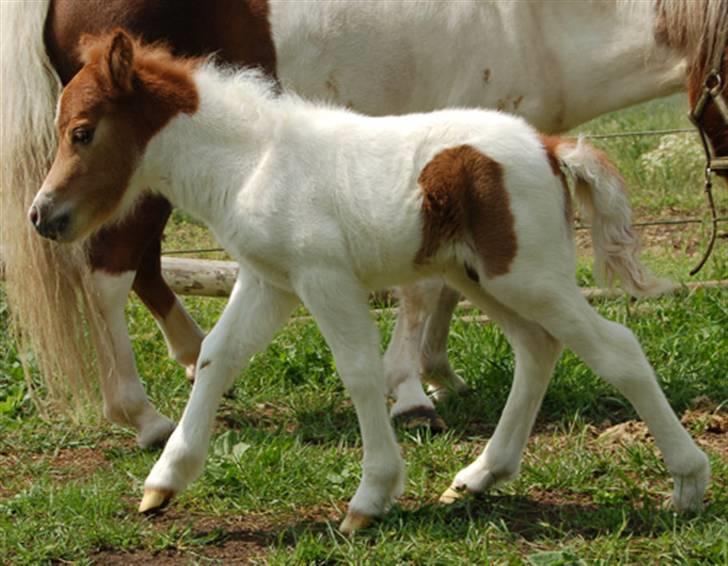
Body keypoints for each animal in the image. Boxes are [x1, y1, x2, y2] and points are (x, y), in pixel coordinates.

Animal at [31, 33, 708, 536]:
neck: (252, 162)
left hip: (531, 277)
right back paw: (479, 476)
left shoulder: (322, 277)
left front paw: (370, 497)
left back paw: (688, 483)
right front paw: (163, 484)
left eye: (83, 131)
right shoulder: (269, 281)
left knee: (616, 349)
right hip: (483, 279)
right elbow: (217, 358)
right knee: (538, 349)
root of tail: (549, 146)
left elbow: (358, 371)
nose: (43, 216)